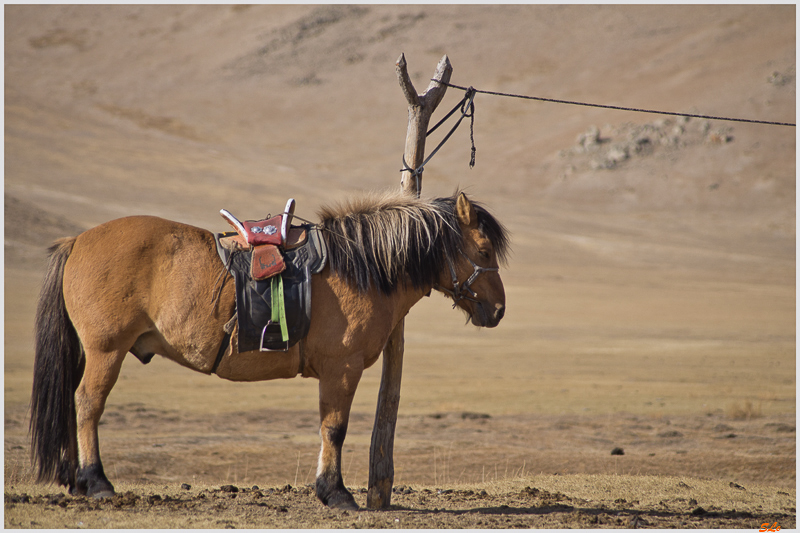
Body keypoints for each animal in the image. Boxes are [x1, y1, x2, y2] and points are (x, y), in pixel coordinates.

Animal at [31, 189, 510, 510]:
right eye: (484, 249)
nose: (499, 310)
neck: (363, 266)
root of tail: (78, 241)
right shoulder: (342, 369)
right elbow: (334, 429)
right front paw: (335, 493)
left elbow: (329, 428)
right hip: (105, 351)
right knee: (87, 404)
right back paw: (96, 482)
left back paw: (77, 481)